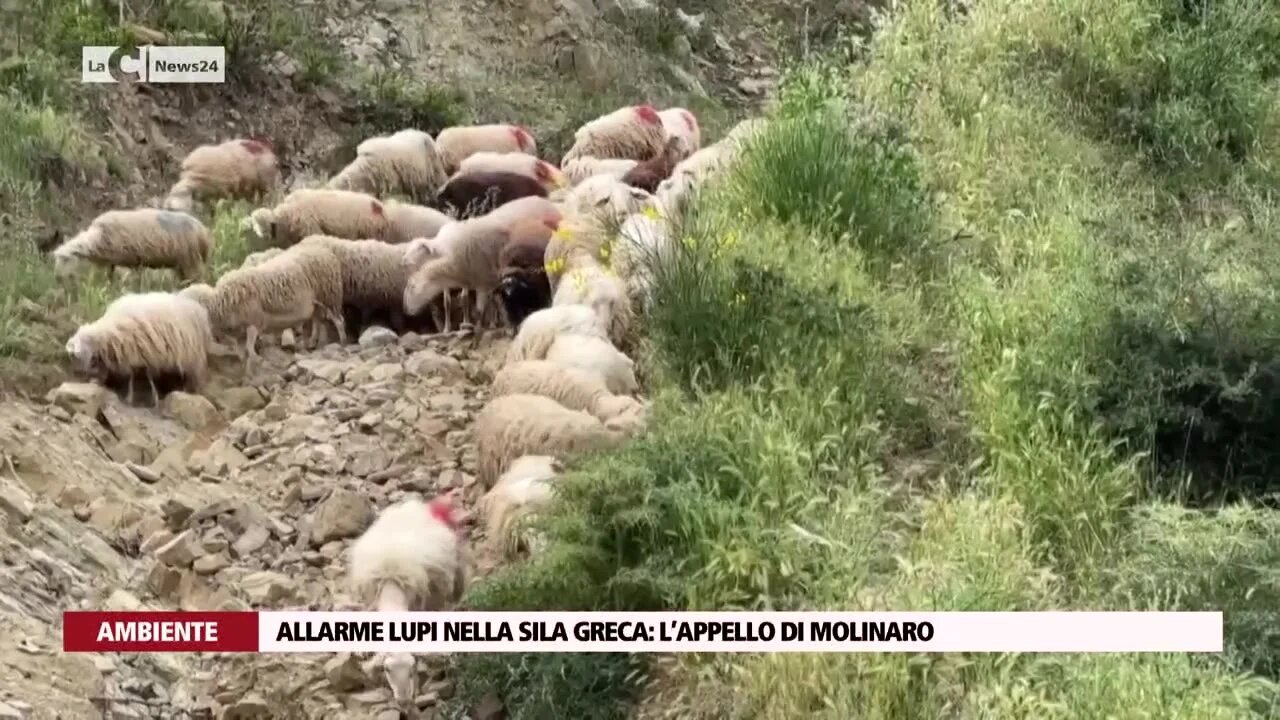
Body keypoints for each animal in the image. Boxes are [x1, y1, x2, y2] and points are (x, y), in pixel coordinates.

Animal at [53, 207, 212, 280]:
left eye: (65, 259)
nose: (57, 277)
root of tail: (202, 230)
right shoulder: (114, 262)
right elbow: (109, 274)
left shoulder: (130, 260)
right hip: (182, 263)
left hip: (191, 259)